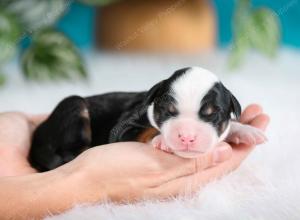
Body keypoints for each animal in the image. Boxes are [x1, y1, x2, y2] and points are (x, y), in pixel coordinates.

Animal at [29, 67, 266, 172]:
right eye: (168, 111)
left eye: (212, 114)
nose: (186, 137)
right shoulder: (122, 129)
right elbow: (146, 130)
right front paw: (161, 139)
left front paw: (245, 131)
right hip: (74, 106)